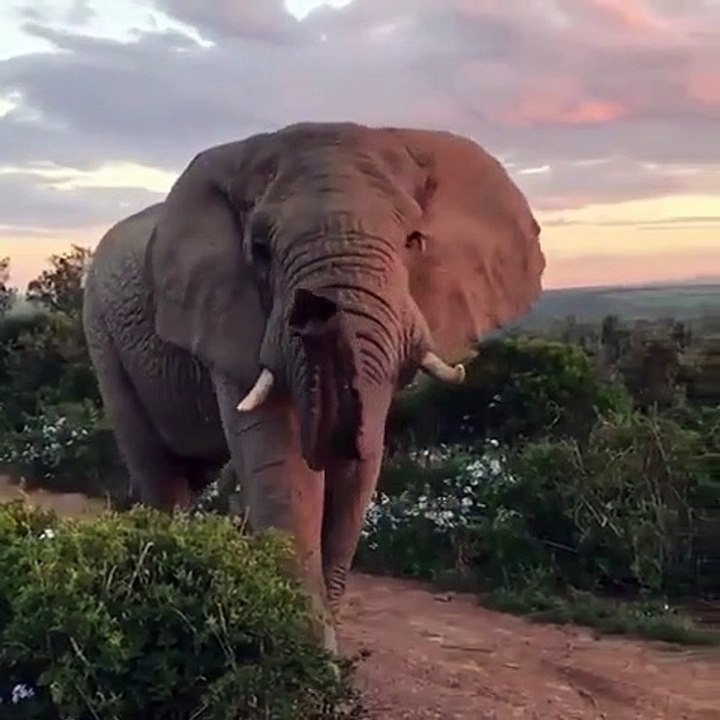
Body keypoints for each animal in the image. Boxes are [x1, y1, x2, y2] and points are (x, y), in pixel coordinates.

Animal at [82, 121, 545, 652]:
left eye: (414, 240)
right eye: (260, 250)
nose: (315, 311)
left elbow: (360, 466)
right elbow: (286, 470)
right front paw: (306, 654)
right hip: (101, 334)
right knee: (160, 474)